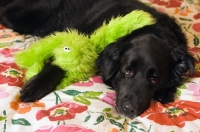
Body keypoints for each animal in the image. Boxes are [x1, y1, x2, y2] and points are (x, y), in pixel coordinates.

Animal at [0, 0, 194, 118]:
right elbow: (60, 64)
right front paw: (36, 85)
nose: (129, 110)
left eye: (154, 79)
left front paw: (167, 90)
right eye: (127, 70)